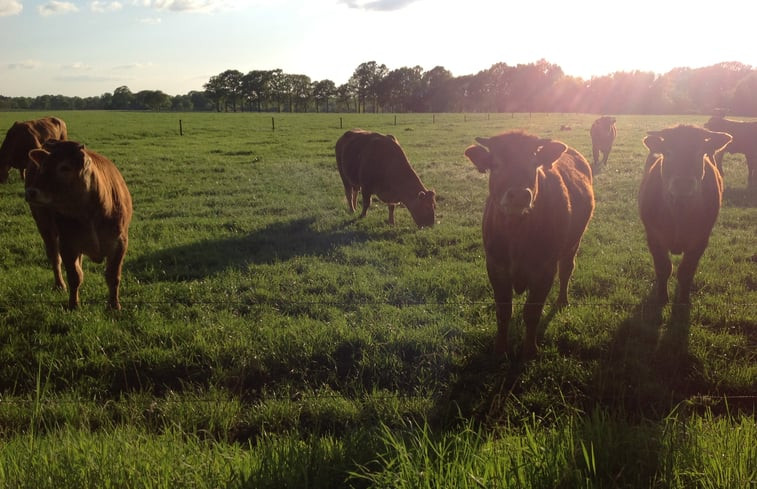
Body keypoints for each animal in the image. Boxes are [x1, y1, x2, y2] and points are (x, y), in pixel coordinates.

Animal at [25, 140, 133, 308]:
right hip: (44, 226)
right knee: (54, 257)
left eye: (65, 167)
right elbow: (74, 276)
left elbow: (113, 276)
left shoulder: (120, 243)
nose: (31, 192)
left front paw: (114, 306)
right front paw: (73, 305)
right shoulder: (67, 244)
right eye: (42, 166)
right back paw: (59, 285)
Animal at [464, 132, 592, 356]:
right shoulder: (496, 267)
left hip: (573, 244)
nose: (518, 194)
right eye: (495, 164)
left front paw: (530, 350)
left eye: (534, 163)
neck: (517, 235)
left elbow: (532, 312)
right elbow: (503, 311)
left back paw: (562, 300)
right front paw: (500, 349)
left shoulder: (545, 271)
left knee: (567, 270)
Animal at [636, 124, 732, 304]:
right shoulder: (654, 238)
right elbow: (663, 268)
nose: (683, 184)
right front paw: (662, 297)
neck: (679, 213)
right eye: (668, 152)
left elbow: (686, 272)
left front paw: (684, 299)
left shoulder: (699, 240)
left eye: (699, 153)